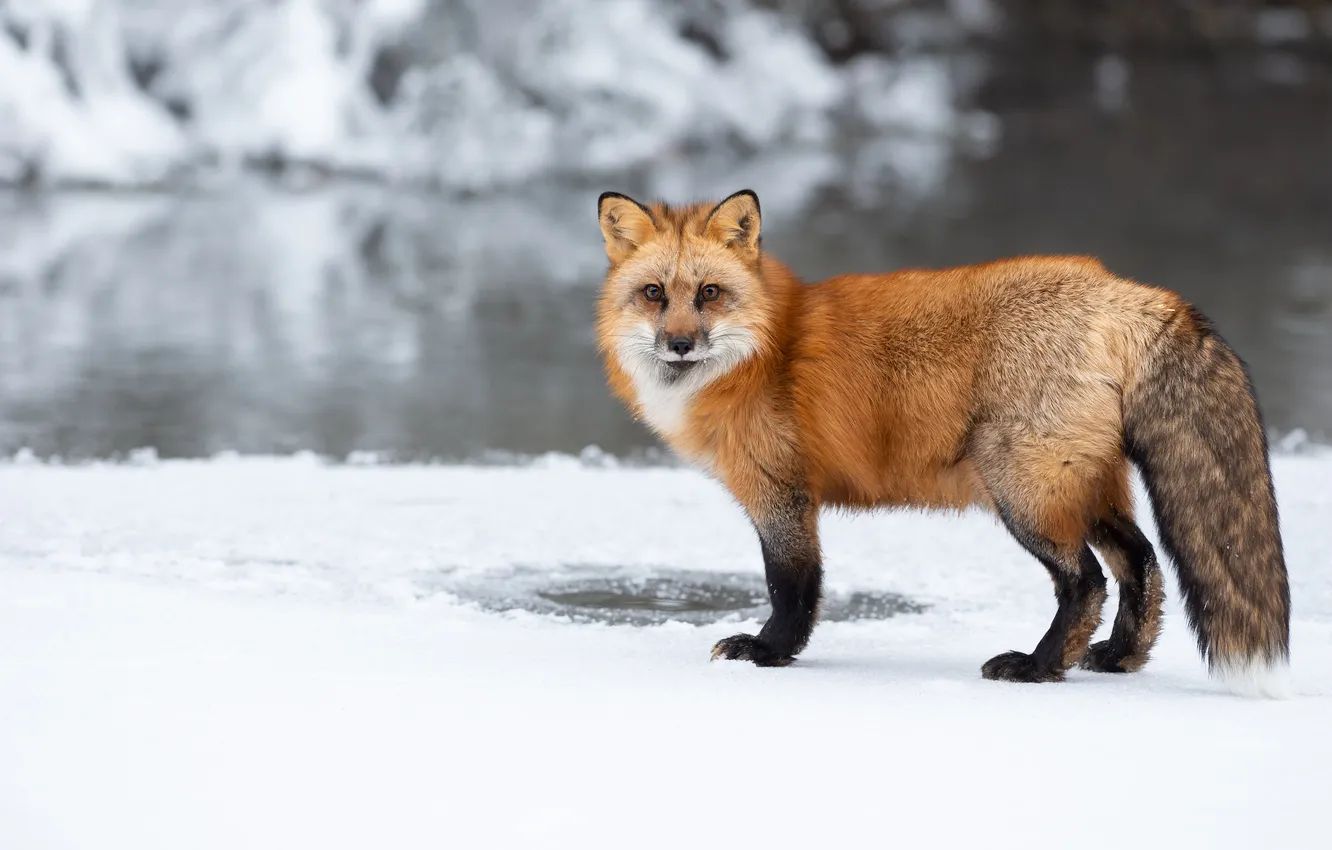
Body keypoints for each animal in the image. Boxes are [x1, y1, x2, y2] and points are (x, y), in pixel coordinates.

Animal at [594, 188, 1292, 697]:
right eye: (654, 293)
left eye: (709, 293)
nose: (679, 343)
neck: (765, 349)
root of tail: (1124, 290)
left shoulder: (780, 495)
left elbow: (792, 587)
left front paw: (769, 653)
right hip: (1084, 487)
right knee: (1142, 563)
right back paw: (1119, 657)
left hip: (1023, 492)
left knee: (1086, 583)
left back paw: (1038, 667)